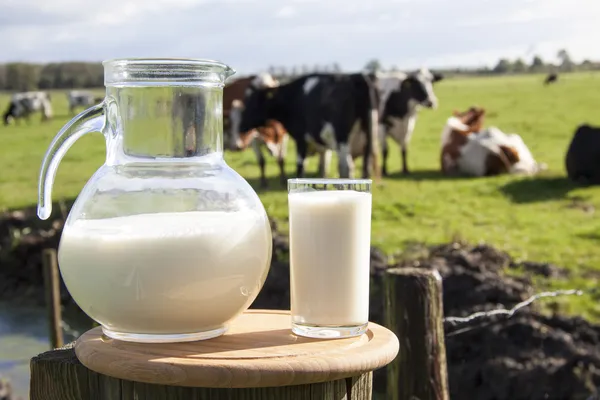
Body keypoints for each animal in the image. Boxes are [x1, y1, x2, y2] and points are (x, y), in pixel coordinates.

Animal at [236, 72, 380, 182]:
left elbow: (301, 166)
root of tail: (357, 76)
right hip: (369, 135)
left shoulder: (301, 138)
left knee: (347, 167)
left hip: (342, 137)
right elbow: (323, 169)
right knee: (364, 167)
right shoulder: (323, 145)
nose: (241, 126)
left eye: (252, 102)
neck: (292, 97)